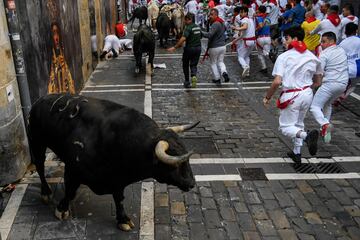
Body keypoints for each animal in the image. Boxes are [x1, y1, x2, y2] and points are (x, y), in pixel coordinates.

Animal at [28, 94, 198, 231]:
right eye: (175, 163)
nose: (191, 183)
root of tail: (40, 100)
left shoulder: (118, 179)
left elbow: (119, 198)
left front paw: (123, 220)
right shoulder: (73, 170)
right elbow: (70, 190)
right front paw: (62, 209)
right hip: (37, 142)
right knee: (40, 166)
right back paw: (46, 193)